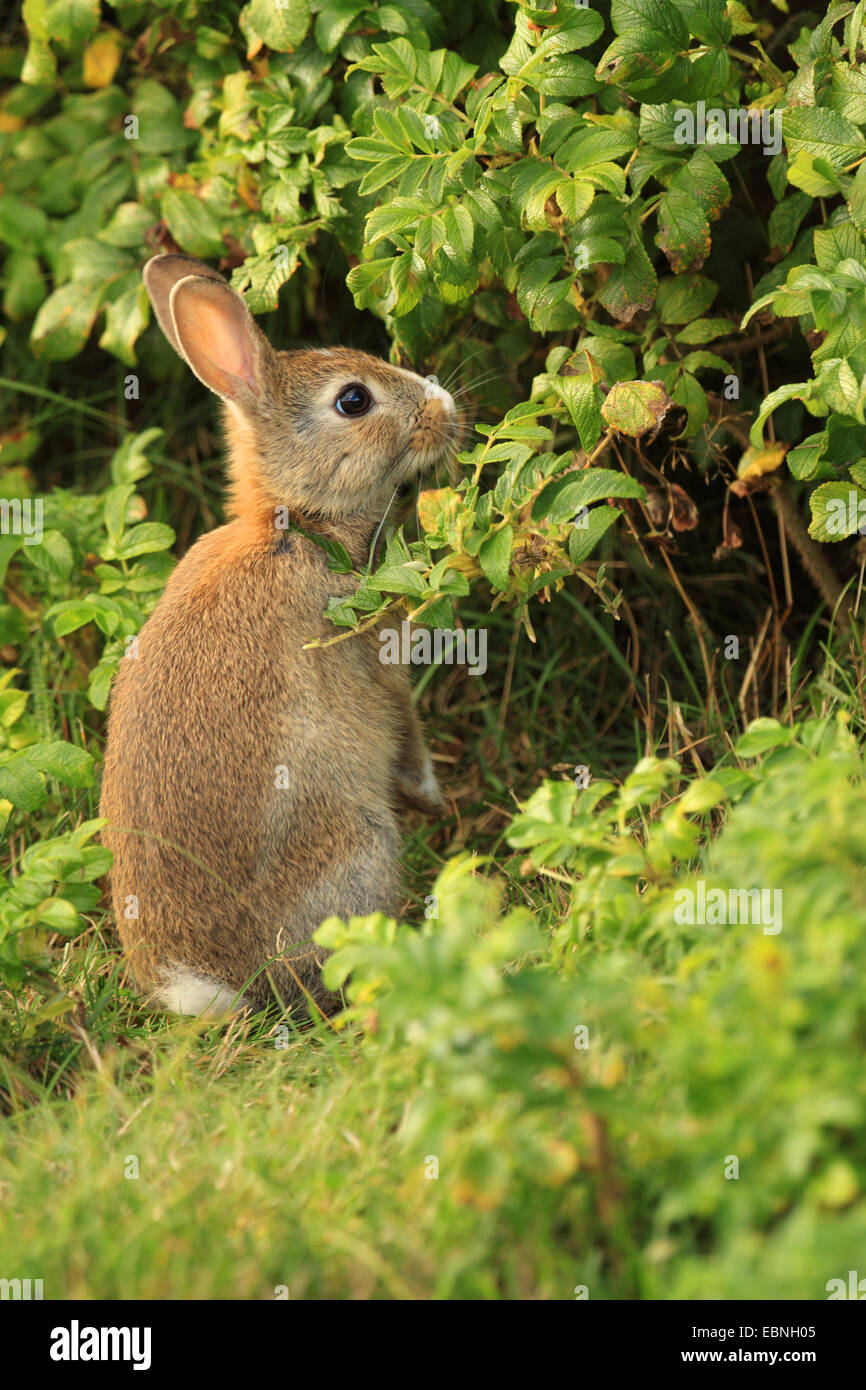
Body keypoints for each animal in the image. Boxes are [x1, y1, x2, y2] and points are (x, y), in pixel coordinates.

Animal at [97, 250, 458, 1017]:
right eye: (353, 402)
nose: (445, 407)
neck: (297, 525)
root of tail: (209, 982)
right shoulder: (378, 661)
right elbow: (405, 727)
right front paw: (431, 793)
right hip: (359, 848)